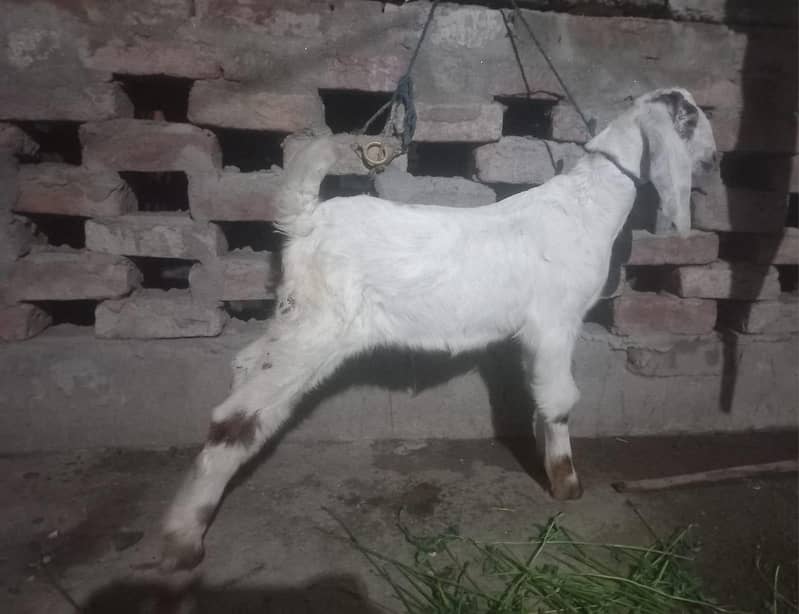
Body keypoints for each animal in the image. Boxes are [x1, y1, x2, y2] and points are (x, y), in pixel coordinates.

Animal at [160, 88, 717, 570]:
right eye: (690, 120)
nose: (714, 162)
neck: (588, 205)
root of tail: (305, 221)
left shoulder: (534, 334)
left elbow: (540, 397)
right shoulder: (556, 322)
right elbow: (560, 400)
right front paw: (566, 484)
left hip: (297, 315)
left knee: (246, 365)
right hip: (320, 326)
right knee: (236, 416)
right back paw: (183, 537)